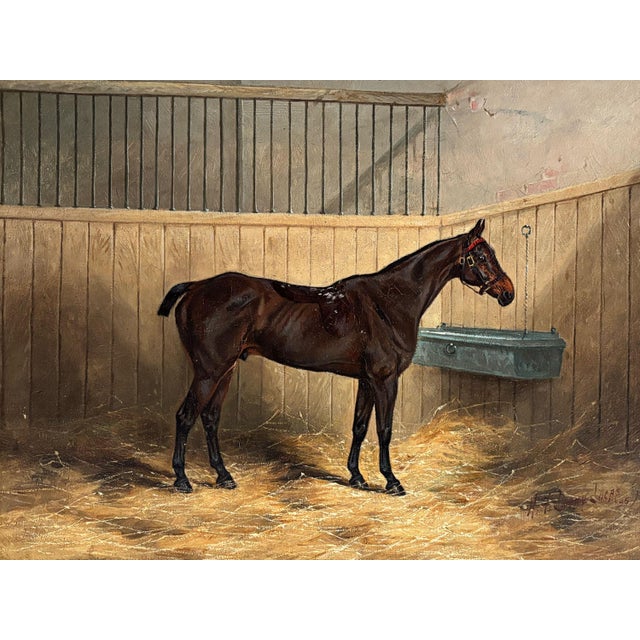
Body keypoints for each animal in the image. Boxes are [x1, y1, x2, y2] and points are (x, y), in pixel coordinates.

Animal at [158, 218, 514, 496]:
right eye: (482, 256)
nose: (508, 293)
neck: (388, 304)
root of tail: (195, 287)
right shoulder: (385, 379)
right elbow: (384, 429)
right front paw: (391, 481)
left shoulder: (367, 380)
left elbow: (359, 426)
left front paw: (356, 476)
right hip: (209, 371)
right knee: (186, 416)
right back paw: (182, 480)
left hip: (226, 370)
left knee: (210, 418)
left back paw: (224, 476)